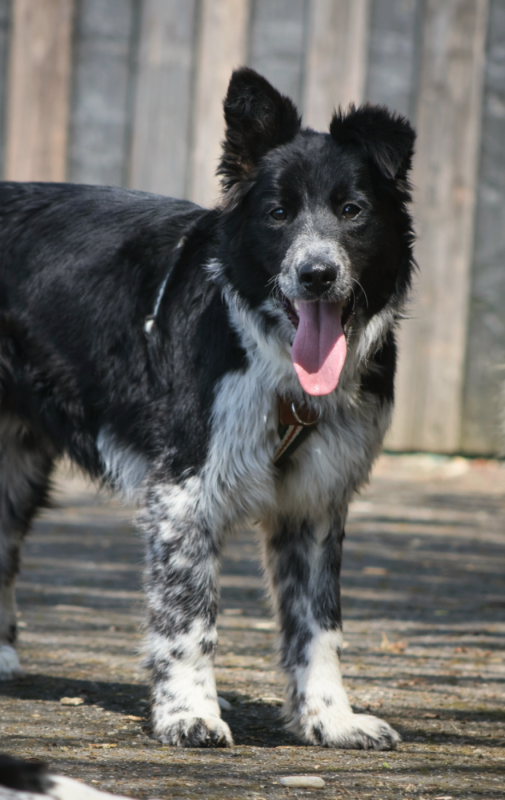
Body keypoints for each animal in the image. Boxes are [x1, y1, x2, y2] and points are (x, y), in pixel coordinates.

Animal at [0, 67, 415, 750]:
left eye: (352, 211)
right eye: (278, 214)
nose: (317, 274)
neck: (277, 369)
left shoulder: (315, 501)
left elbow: (318, 624)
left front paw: (330, 718)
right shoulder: (182, 494)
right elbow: (188, 616)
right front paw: (189, 713)